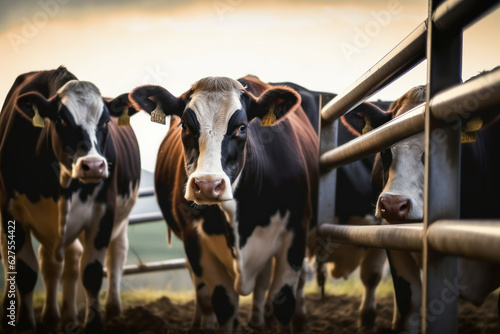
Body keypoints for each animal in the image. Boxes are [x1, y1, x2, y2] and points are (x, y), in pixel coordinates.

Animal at [0, 65, 141, 332]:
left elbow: (92, 272)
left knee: (114, 254)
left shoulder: (103, 211)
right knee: (48, 263)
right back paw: (53, 316)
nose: (94, 166)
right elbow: (24, 271)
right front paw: (24, 323)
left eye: (106, 122)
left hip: (119, 219)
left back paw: (109, 310)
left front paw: (94, 324)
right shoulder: (11, 213)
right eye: (62, 120)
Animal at [129, 76, 316, 334]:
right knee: (203, 294)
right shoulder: (195, 240)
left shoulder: (296, 232)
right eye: (185, 125)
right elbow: (223, 303)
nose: (208, 185)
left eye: (242, 127)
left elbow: (283, 301)